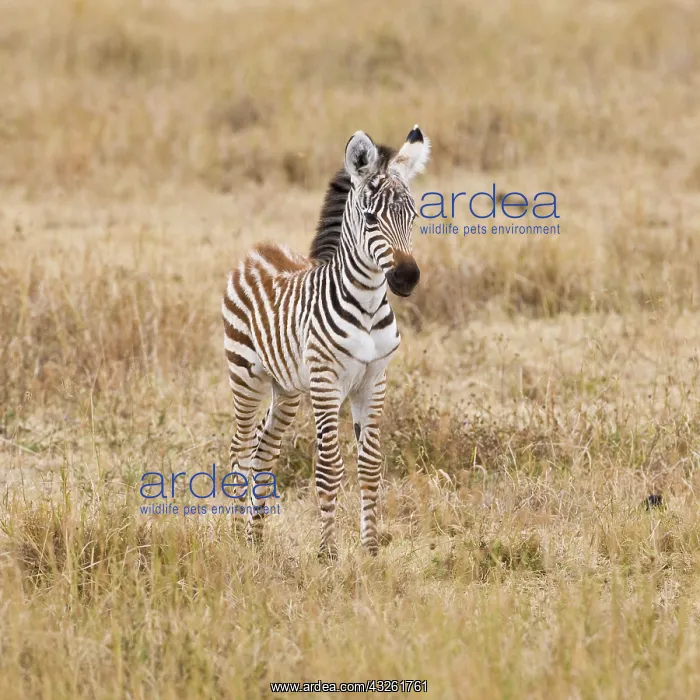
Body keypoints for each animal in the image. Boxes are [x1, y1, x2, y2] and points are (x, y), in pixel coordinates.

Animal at [222, 125, 430, 559]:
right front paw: (328, 553)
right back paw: (233, 538)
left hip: (285, 388)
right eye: (370, 217)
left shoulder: (374, 381)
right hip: (245, 375)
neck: (367, 305)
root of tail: (258, 248)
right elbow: (329, 467)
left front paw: (370, 549)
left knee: (264, 451)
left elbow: (370, 465)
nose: (407, 278)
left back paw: (255, 539)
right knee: (240, 449)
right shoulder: (325, 382)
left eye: (414, 215)